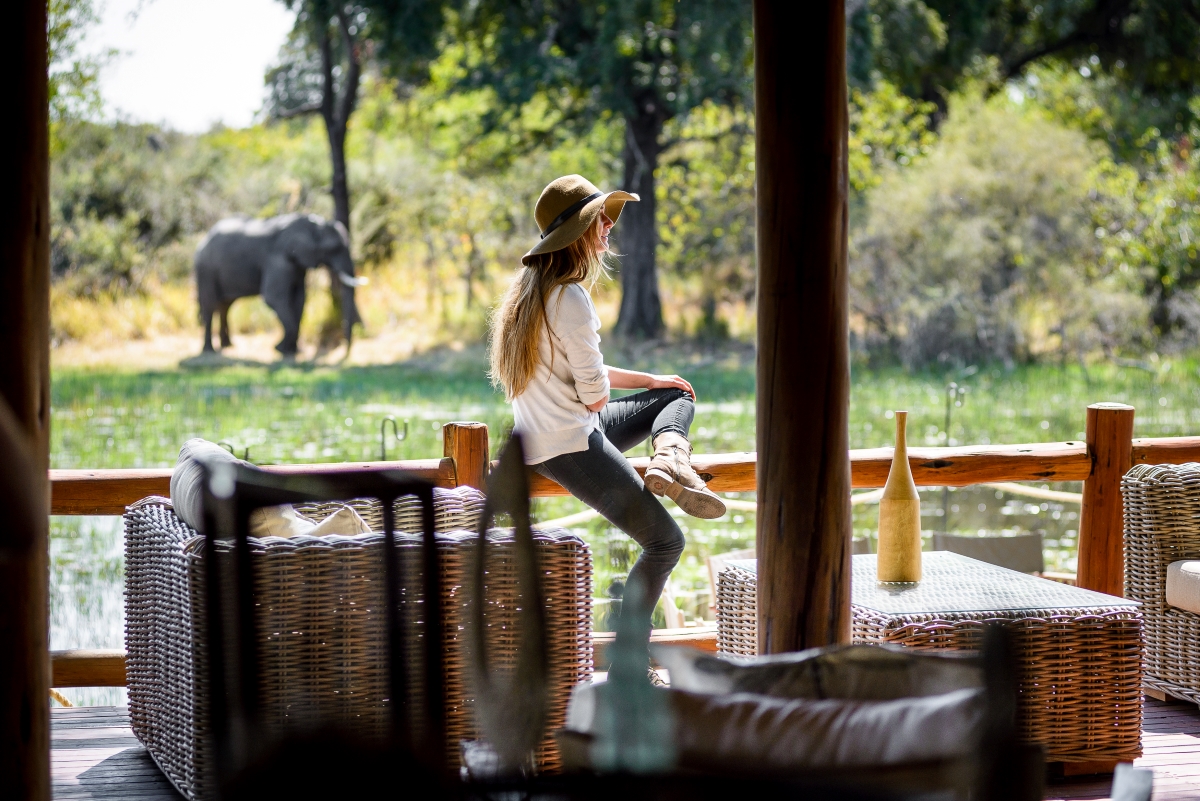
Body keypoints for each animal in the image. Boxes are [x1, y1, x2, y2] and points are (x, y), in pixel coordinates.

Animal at [194, 214, 364, 357]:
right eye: (334, 248)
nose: (345, 351)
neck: (313, 224)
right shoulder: (279, 259)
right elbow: (274, 297)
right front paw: (280, 349)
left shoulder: (297, 264)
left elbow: (300, 299)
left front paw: (292, 351)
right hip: (206, 270)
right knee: (209, 306)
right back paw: (209, 350)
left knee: (225, 306)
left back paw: (227, 345)